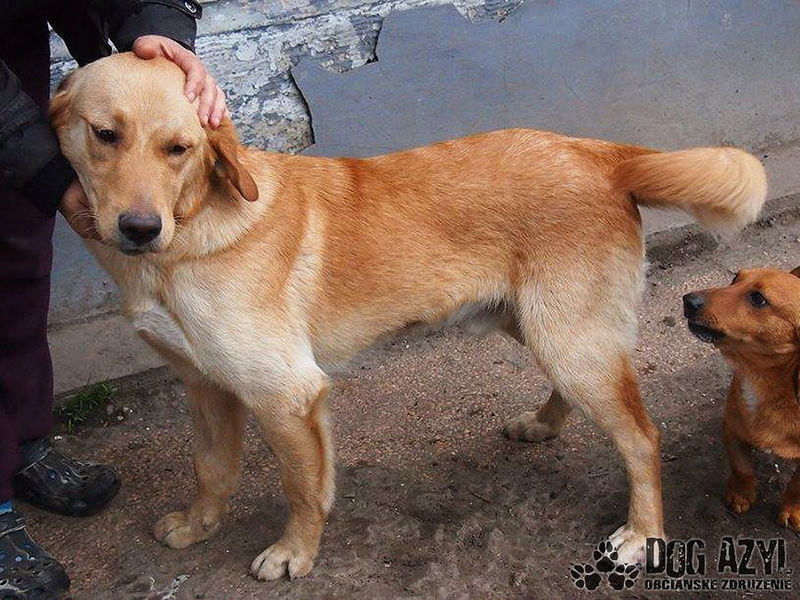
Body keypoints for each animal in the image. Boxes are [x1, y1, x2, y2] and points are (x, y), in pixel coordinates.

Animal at [50, 53, 767, 580]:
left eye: (178, 148)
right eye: (105, 134)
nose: (139, 228)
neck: (187, 233)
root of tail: (599, 152)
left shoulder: (286, 393)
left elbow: (301, 487)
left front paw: (294, 553)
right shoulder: (205, 387)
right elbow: (211, 470)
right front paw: (199, 527)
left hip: (570, 338)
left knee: (642, 438)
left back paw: (643, 534)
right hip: (542, 327)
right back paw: (543, 424)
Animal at [684, 267, 800, 529]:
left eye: (758, 298)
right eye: (735, 278)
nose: (688, 300)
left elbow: (795, 485)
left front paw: (792, 510)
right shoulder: (732, 429)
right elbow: (741, 468)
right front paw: (741, 495)